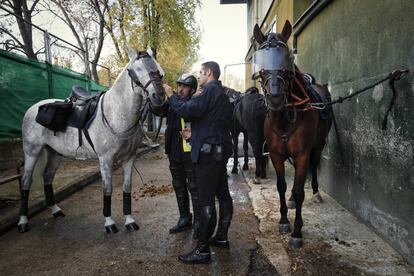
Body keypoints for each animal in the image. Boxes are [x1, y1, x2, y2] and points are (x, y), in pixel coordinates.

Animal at [17, 47, 167, 233]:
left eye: (159, 70)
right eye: (137, 69)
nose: (159, 98)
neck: (115, 113)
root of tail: (33, 109)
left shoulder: (129, 159)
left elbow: (127, 188)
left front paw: (129, 221)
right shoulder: (105, 159)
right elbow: (107, 189)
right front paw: (109, 223)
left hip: (55, 153)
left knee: (47, 177)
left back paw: (55, 210)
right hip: (32, 151)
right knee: (26, 181)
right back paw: (23, 221)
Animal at [252, 21, 334, 248]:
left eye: (286, 59)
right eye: (262, 61)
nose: (275, 98)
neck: (286, 118)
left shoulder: (303, 154)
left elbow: (299, 191)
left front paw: (297, 232)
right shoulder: (276, 154)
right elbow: (281, 186)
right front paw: (283, 221)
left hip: (317, 147)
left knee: (312, 169)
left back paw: (316, 192)